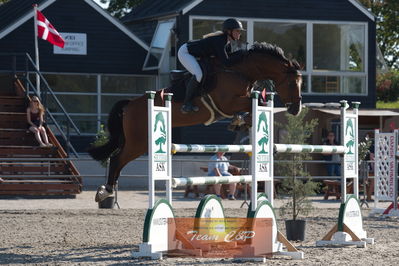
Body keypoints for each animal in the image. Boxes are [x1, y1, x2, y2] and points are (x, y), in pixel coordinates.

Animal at [90, 41, 304, 202]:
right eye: (292, 83)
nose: (296, 109)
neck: (239, 71)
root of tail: (129, 105)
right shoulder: (227, 102)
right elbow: (257, 102)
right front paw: (242, 121)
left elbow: (256, 105)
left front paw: (241, 122)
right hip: (139, 142)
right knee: (117, 159)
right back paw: (105, 191)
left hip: (136, 141)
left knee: (117, 158)